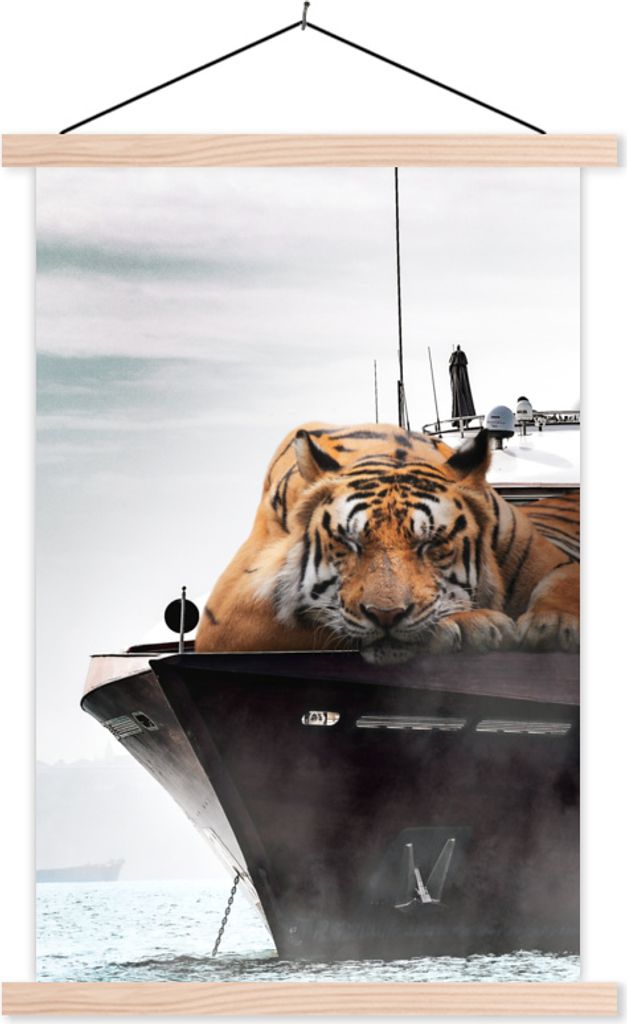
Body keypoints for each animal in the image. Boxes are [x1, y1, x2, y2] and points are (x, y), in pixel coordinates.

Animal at [195, 423, 579, 664]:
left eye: (431, 544)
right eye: (349, 543)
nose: (386, 615)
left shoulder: (549, 559)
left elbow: (564, 581)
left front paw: (555, 625)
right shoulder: (229, 612)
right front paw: (471, 624)